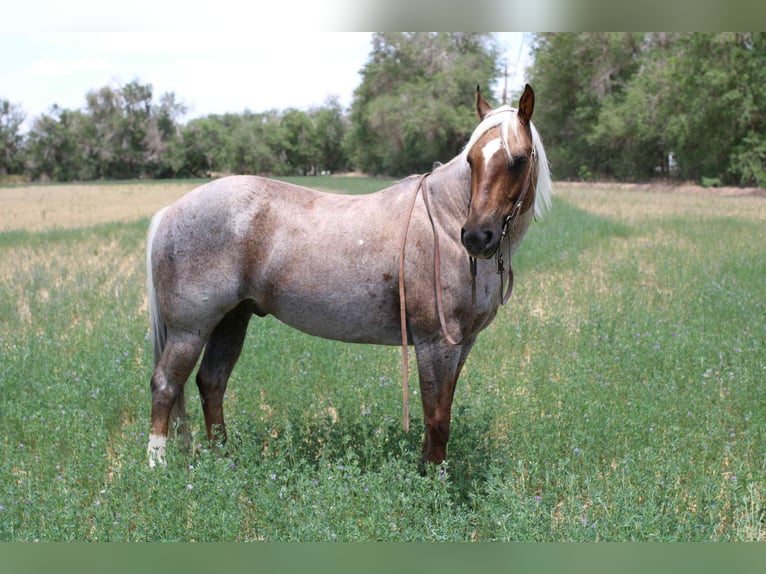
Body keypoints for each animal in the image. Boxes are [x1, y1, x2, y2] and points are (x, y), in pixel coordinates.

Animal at [145, 85, 552, 469]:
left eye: (517, 160)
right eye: (471, 159)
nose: (477, 237)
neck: (445, 220)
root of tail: (170, 211)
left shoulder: (461, 346)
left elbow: (440, 415)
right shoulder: (435, 344)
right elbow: (437, 420)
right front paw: (435, 484)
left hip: (232, 320)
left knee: (211, 382)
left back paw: (224, 459)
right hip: (189, 331)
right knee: (166, 385)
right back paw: (157, 466)